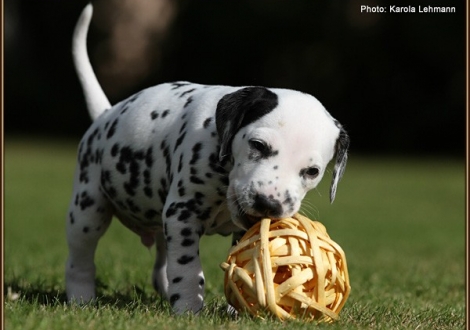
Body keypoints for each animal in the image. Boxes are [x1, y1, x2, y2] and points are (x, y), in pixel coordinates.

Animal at [65, 3, 348, 314]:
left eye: (312, 171)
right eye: (258, 145)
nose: (268, 204)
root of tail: (105, 115)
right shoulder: (182, 214)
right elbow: (187, 268)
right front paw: (188, 309)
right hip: (88, 208)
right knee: (80, 256)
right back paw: (81, 297)